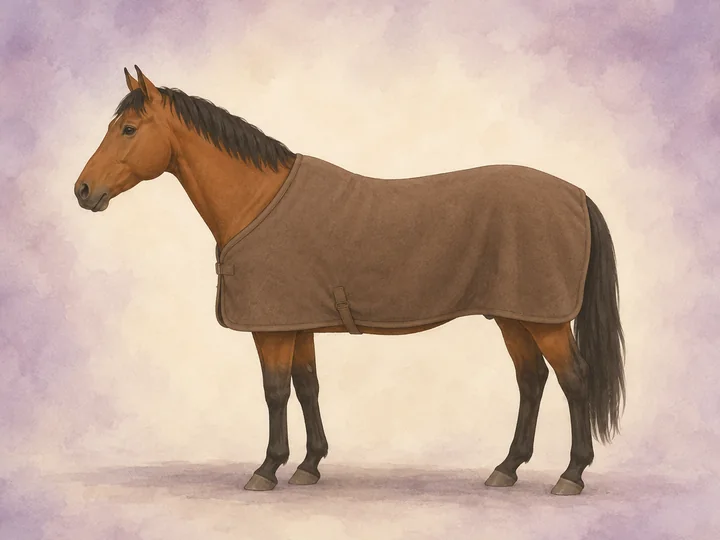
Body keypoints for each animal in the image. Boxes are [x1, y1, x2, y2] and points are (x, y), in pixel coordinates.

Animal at [74, 66, 625, 495]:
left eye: (128, 129)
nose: (82, 190)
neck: (258, 200)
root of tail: (576, 194)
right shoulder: (297, 322)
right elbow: (307, 386)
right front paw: (309, 465)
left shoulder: (271, 329)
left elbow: (275, 391)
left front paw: (267, 468)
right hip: (514, 316)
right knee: (531, 380)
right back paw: (506, 469)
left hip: (546, 320)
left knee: (574, 381)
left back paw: (571, 475)